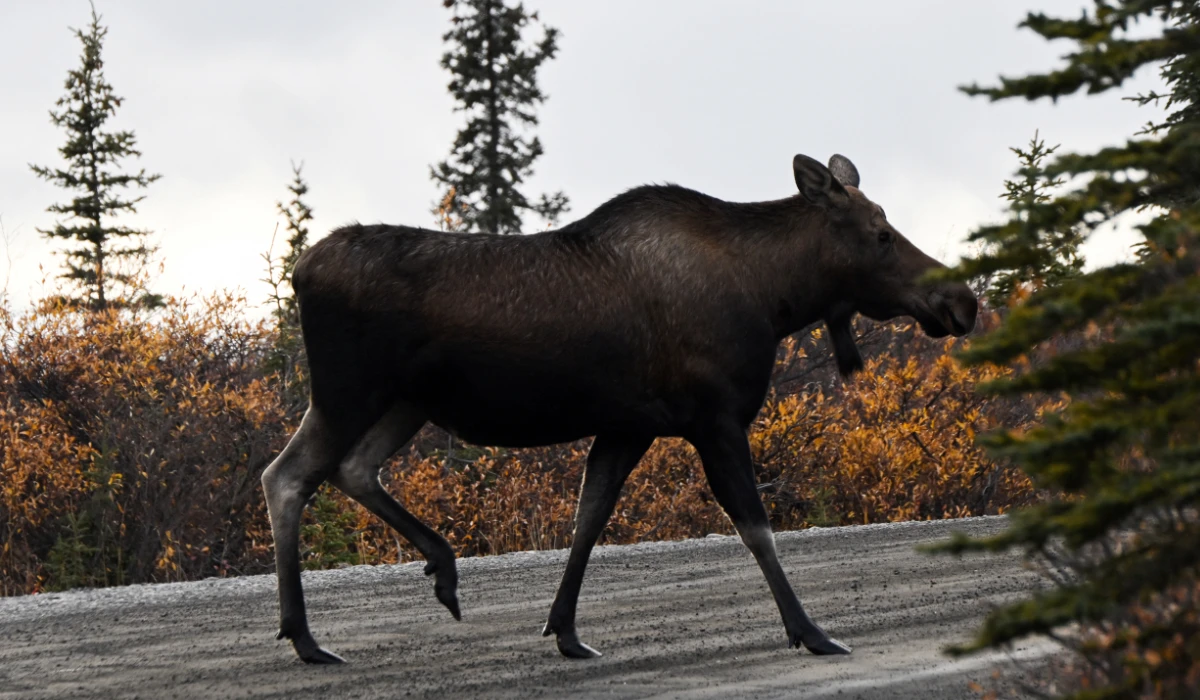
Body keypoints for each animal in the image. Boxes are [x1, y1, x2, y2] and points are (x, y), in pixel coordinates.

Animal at [261, 153, 979, 664]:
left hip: (402, 403)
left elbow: (589, 517)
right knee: (287, 475)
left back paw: (431, 572)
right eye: (881, 234)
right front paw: (811, 631)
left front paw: (565, 631)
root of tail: (300, 271)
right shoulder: (714, 418)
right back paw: (307, 637)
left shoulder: (629, 426)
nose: (963, 302)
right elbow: (756, 527)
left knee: (347, 469)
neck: (777, 297)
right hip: (350, 391)